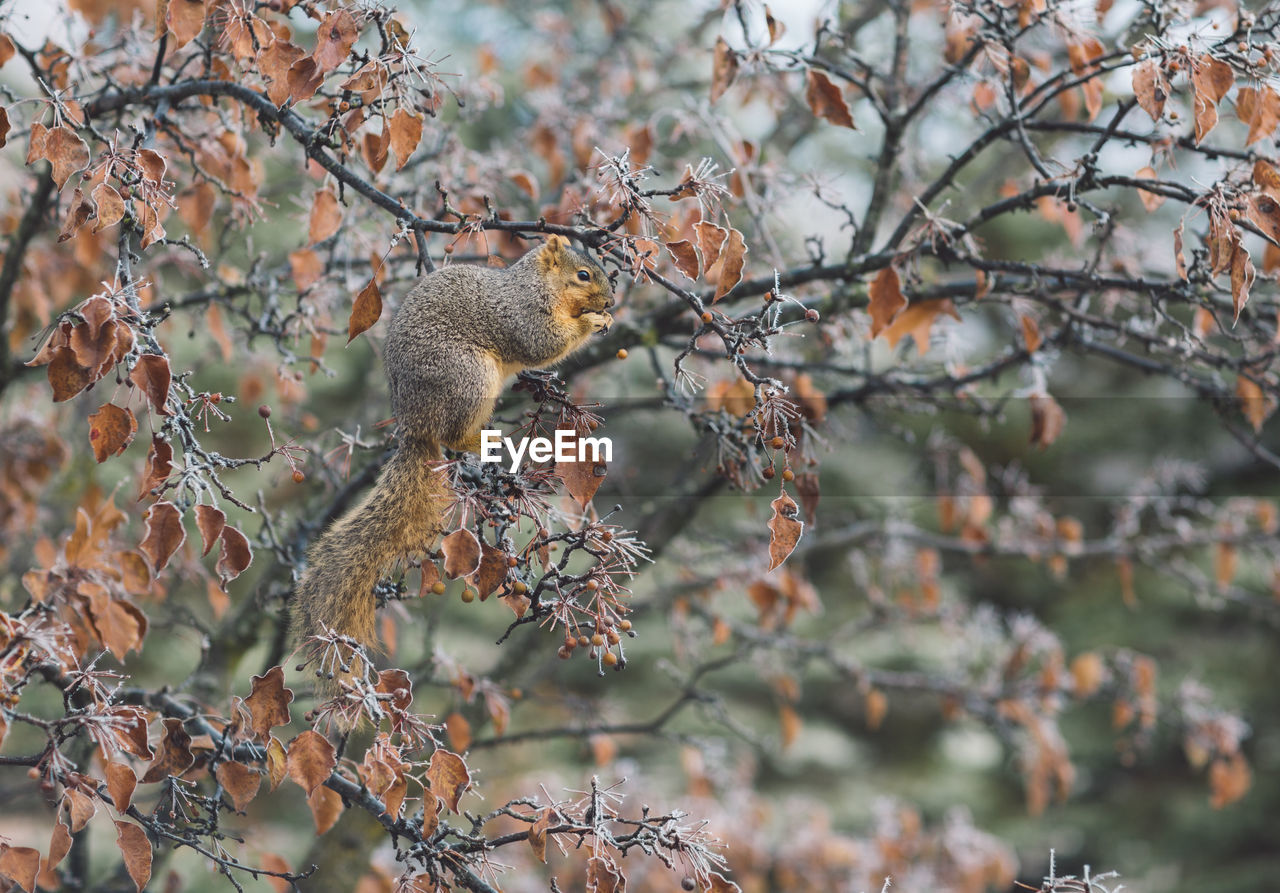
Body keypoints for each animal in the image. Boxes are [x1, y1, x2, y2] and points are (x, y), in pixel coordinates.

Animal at [293, 232, 611, 685]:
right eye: (583, 275)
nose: (610, 299)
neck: (537, 284)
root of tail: (413, 422)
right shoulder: (522, 315)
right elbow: (543, 343)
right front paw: (593, 322)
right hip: (469, 377)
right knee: (454, 433)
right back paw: (481, 439)